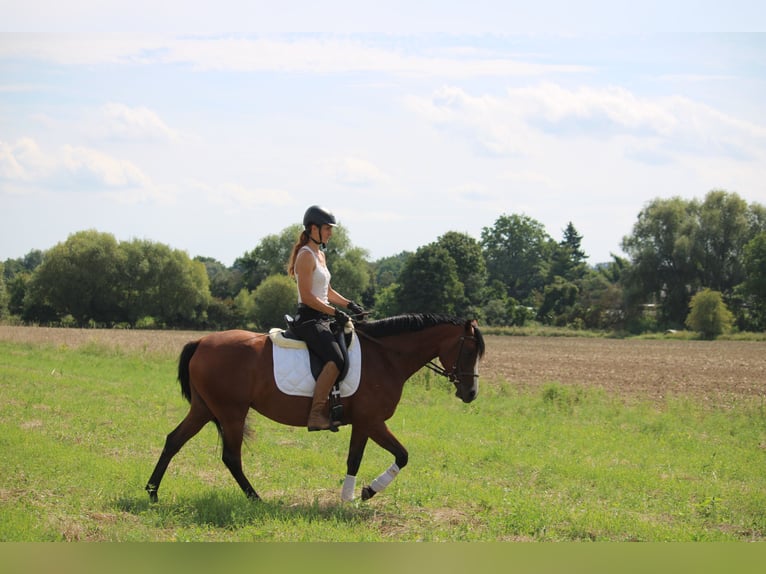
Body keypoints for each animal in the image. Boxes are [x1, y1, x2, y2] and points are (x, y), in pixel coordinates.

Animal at [147, 316, 486, 504]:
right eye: (470, 349)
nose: (471, 393)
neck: (386, 355)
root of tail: (202, 341)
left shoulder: (363, 424)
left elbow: (354, 459)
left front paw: (349, 497)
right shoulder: (373, 421)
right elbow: (402, 455)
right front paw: (368, 491)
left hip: (205, 409)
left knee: (173, 440)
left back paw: (152, 492)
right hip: (231, 412)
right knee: (231, 457)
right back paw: (256, 499)